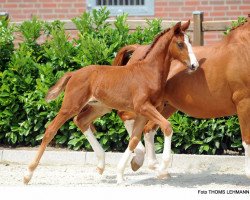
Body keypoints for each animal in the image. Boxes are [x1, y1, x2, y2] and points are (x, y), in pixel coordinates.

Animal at [23, 21, 199, 184]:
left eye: (190, 41)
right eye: (180, 44)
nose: (194, 65)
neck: (148, 73)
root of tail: (73, 73)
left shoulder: (143, 112)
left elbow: (134, 139)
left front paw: (120, 175)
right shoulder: (144, 107)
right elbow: (167, 127)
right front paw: (162, 167)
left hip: (100, 107)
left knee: (81, 120)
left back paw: (101, 166)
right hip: (71, 106)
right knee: (51, 130)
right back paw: (28, 174)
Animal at [114, 16, 250, 178]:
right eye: (180, 44)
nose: (194, 65)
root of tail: (138, 49)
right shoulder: (243, 102)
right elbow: (247, 140)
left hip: (164, 105)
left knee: (148, 129)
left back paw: (155, 167)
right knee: (126, 116)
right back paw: (140, 159)